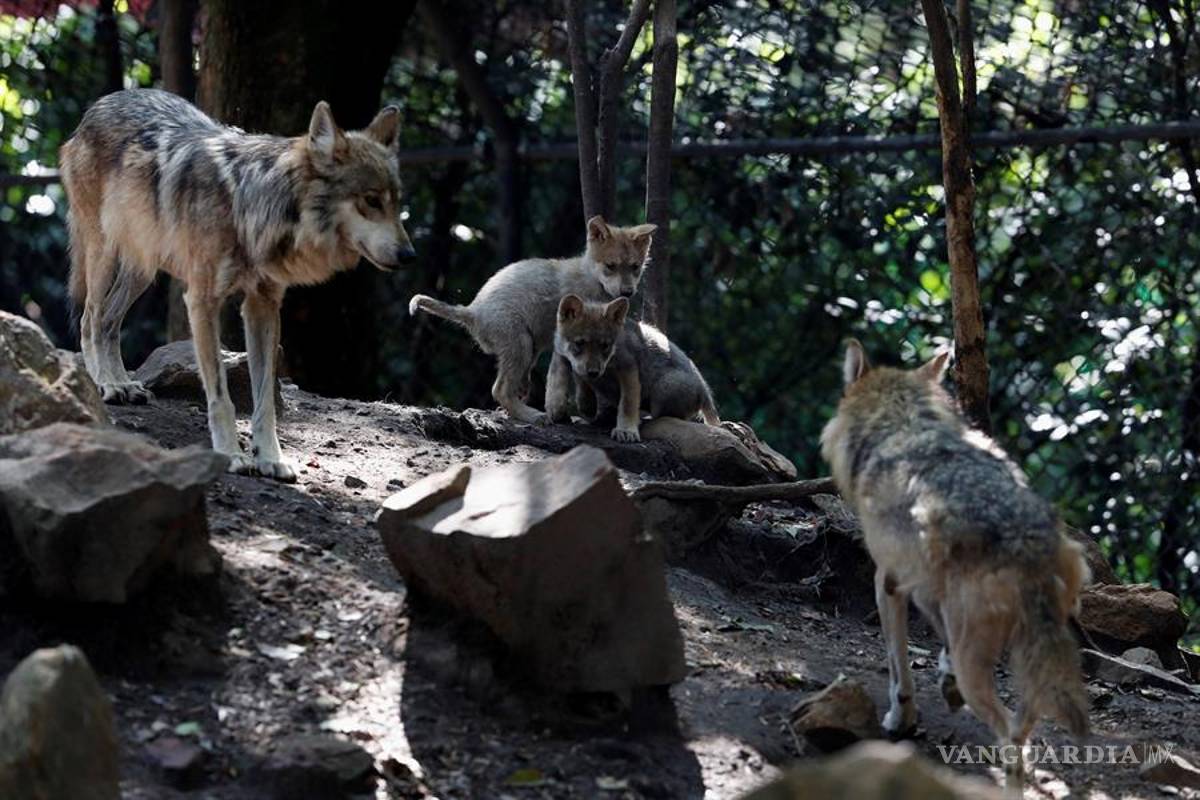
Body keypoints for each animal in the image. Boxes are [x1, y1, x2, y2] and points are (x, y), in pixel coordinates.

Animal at [59, 88, 414, 482]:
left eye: (397, 202)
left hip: (143, 268)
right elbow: (220, 395)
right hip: (103, 252)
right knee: (90, 319)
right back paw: (105, 384)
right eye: (371, 201)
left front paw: (270, 458)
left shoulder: (263, 305)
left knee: (109, 322)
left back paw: (123, 383)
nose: (409, 255)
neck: (251, 203)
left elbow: (264, 400)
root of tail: (100, 105)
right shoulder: (201, 301)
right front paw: (231, 454)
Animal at [409, 216, 654, 425]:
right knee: (499, 390)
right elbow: (578, 376)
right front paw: (584, 406)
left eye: (635, 267)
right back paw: (532, 415)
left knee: (514, 386)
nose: (628, 292)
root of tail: (472, 311)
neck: (592, 279)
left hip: (529, 349)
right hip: (521, 344)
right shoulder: (569, 338)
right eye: (611, 266)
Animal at [547, 294, 719, 442]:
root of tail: (705, 391)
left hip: (663, 389)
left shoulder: (628, 369)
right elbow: (560, 382)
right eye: (579, 343)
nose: (594, 372)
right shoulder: (562, 355)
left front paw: (626, 431)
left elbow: (627, 404)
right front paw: (557, 410)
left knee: (668, 417)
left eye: (605, 346)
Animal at [820, 340, 1089, 789]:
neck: (902, 422)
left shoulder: (888, 583)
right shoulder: (929, 592)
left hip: (981, 666)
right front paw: (943, 688)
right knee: (1025, 729)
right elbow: (938, 648)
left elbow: (899, 670)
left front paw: (900, 720)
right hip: (1032, 661)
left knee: (1011, 739)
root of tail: (1027, 542)